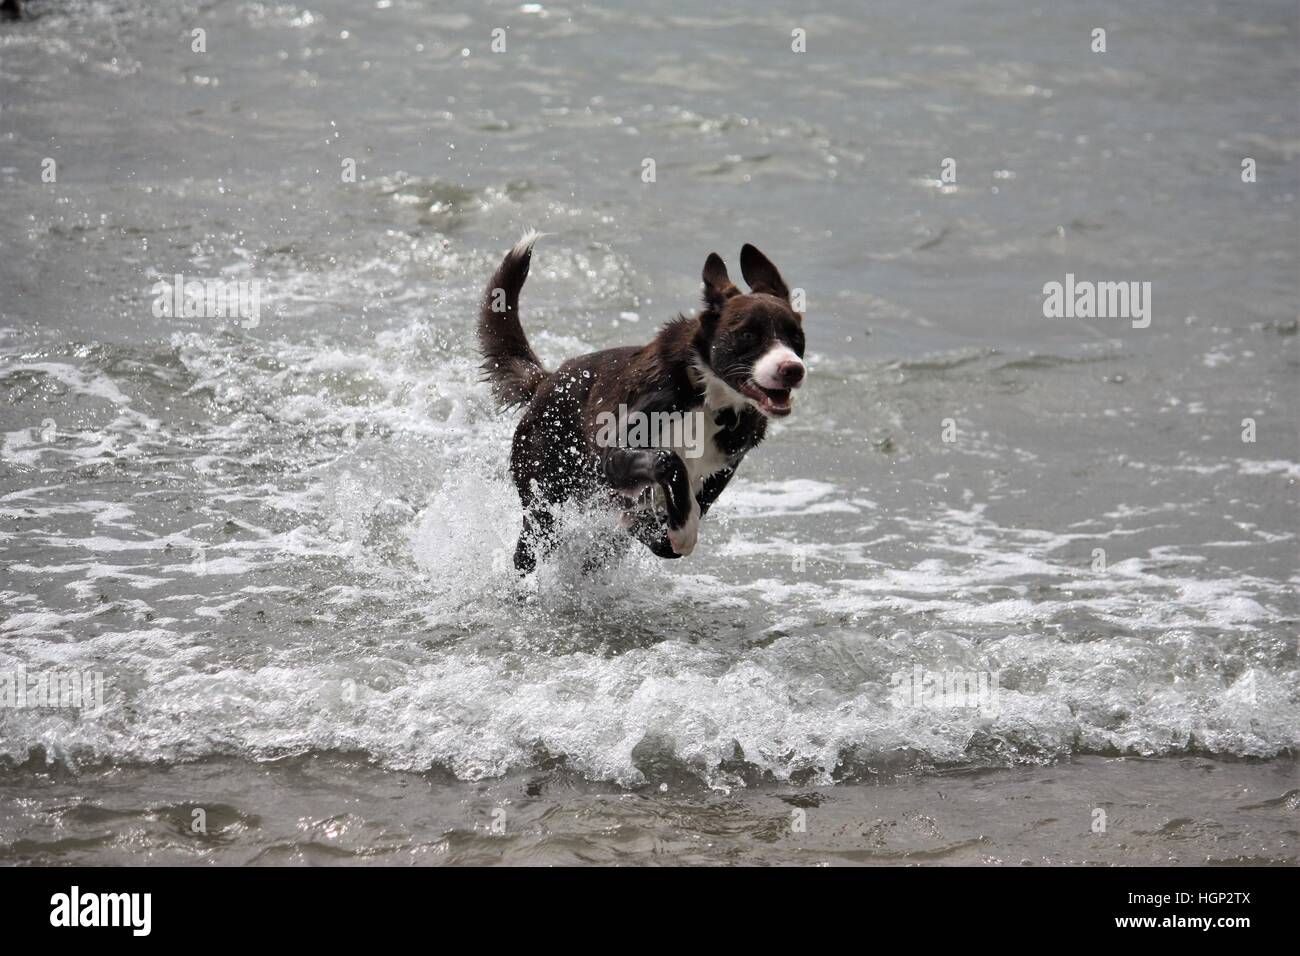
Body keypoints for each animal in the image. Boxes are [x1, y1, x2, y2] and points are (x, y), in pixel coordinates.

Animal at [478, 234, 800, 572]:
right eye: (748, 335)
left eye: (796, 337)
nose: (793, 369)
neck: (709, 397)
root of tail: (546, 380)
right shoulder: (616, 454)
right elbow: (668, 460)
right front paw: (680, 528)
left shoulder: (723, 467)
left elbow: (670, 525)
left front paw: (664, 527)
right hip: (546, 495)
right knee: (529, 547)